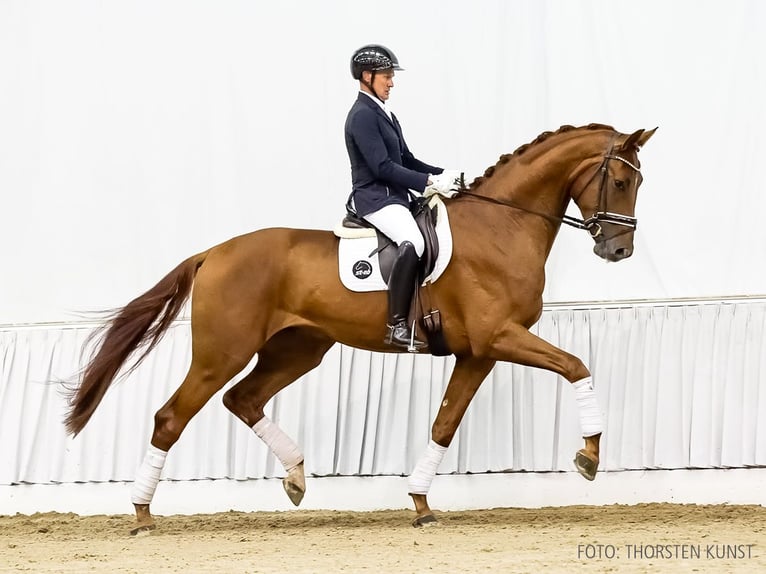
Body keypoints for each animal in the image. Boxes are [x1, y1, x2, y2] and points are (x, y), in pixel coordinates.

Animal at [64, 124, 660, 532]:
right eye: (620, 180)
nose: (619, 250)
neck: (502, 224)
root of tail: (213, 252)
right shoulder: (499, 338)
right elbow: (576, 364)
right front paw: (589, 456)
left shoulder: (478, 353)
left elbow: (444, 424)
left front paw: (420, 503)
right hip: (222, 352)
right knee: (172, 416)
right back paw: (142, 514)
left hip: (300, 348)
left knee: (244, 399)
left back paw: (296, 476)